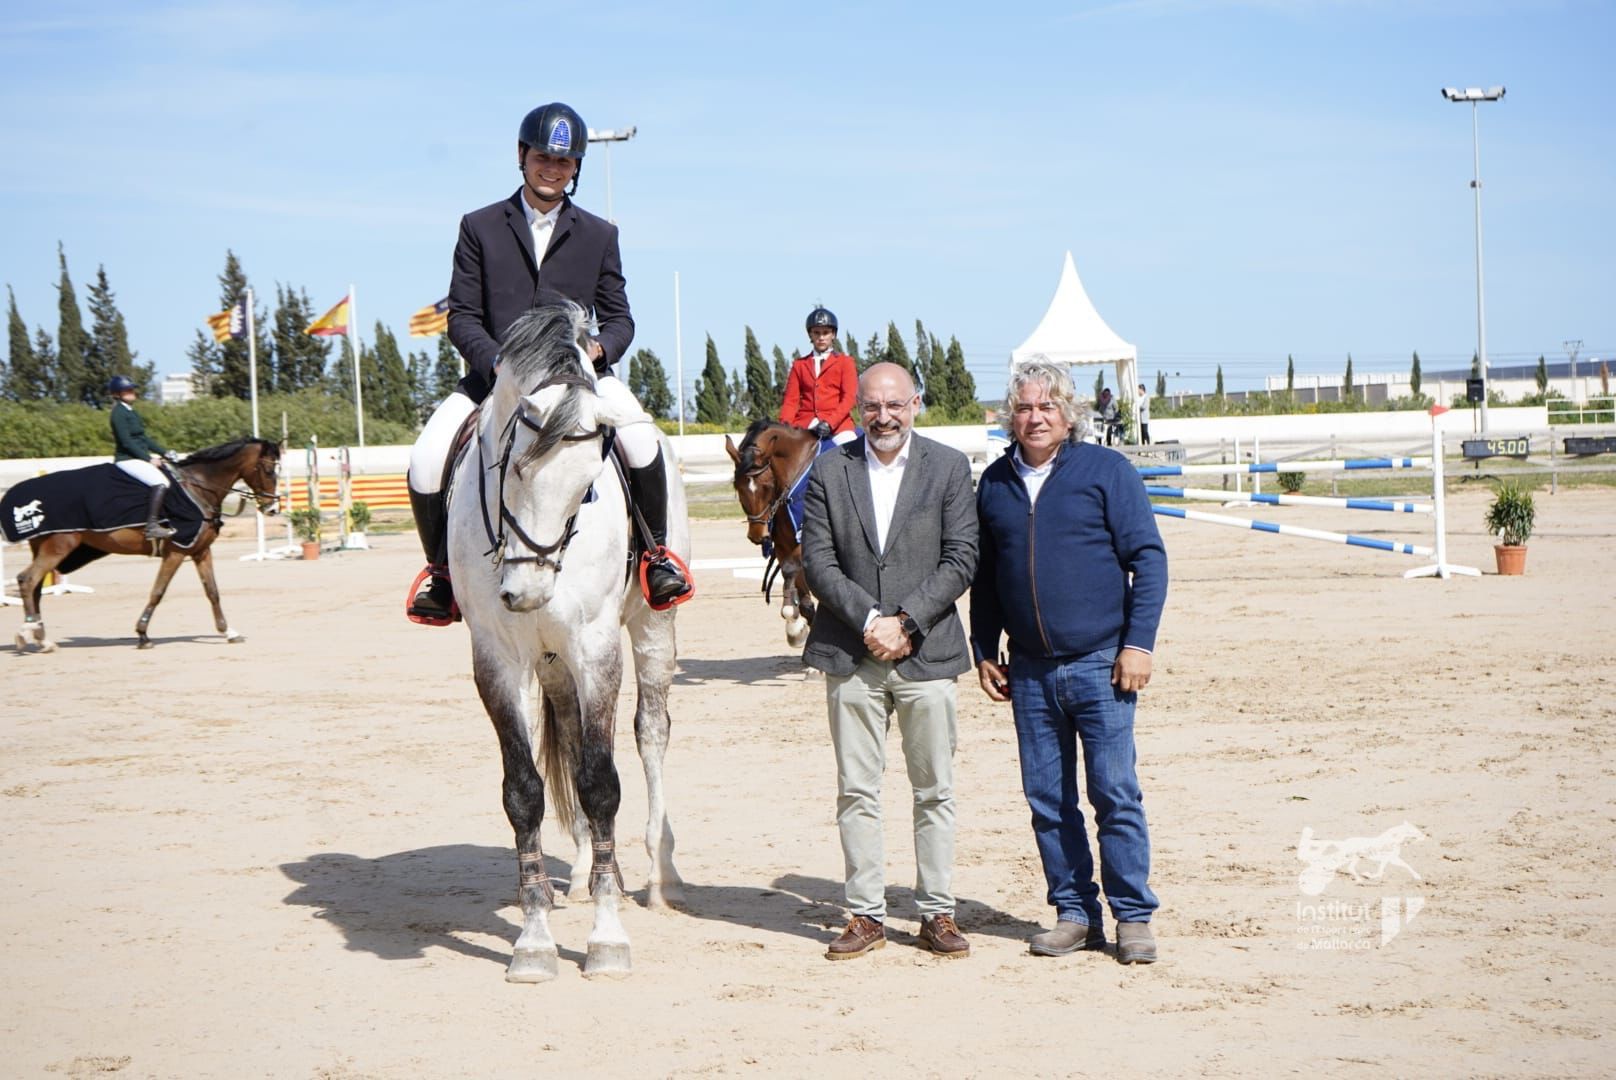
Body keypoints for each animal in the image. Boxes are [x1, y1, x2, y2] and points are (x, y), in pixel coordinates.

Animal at [13, 436, 281, 653]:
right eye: (269, 470)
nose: (273, 508)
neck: (199, 488)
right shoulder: (175, 552)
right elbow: (158, 592)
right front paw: (142, 635)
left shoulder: (201, 551)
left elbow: (212, 592)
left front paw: (229, 632)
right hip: (58, 547)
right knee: (28, 580)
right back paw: (29, 635)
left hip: (44, 548)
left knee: (35, 587)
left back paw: (40, 638)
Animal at [449, 299, 688, 982]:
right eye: (511, 472)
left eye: (588, 486)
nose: (527, 592)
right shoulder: (496, 659)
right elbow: (525, 790)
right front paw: (533, 941)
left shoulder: (596, 647)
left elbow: (602, 783)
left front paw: (607, 940)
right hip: (552, 661)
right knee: (571, 734)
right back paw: (582, 873)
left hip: (652, 629)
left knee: (650, 733)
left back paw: (659, 876)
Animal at [727, 417, 820, 646]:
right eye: (737, 487)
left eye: (768, 485)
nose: (757, 535)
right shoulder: (783, 545)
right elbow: (803, 597)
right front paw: (798, 630)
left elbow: (790, 570)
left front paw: (794, 625)